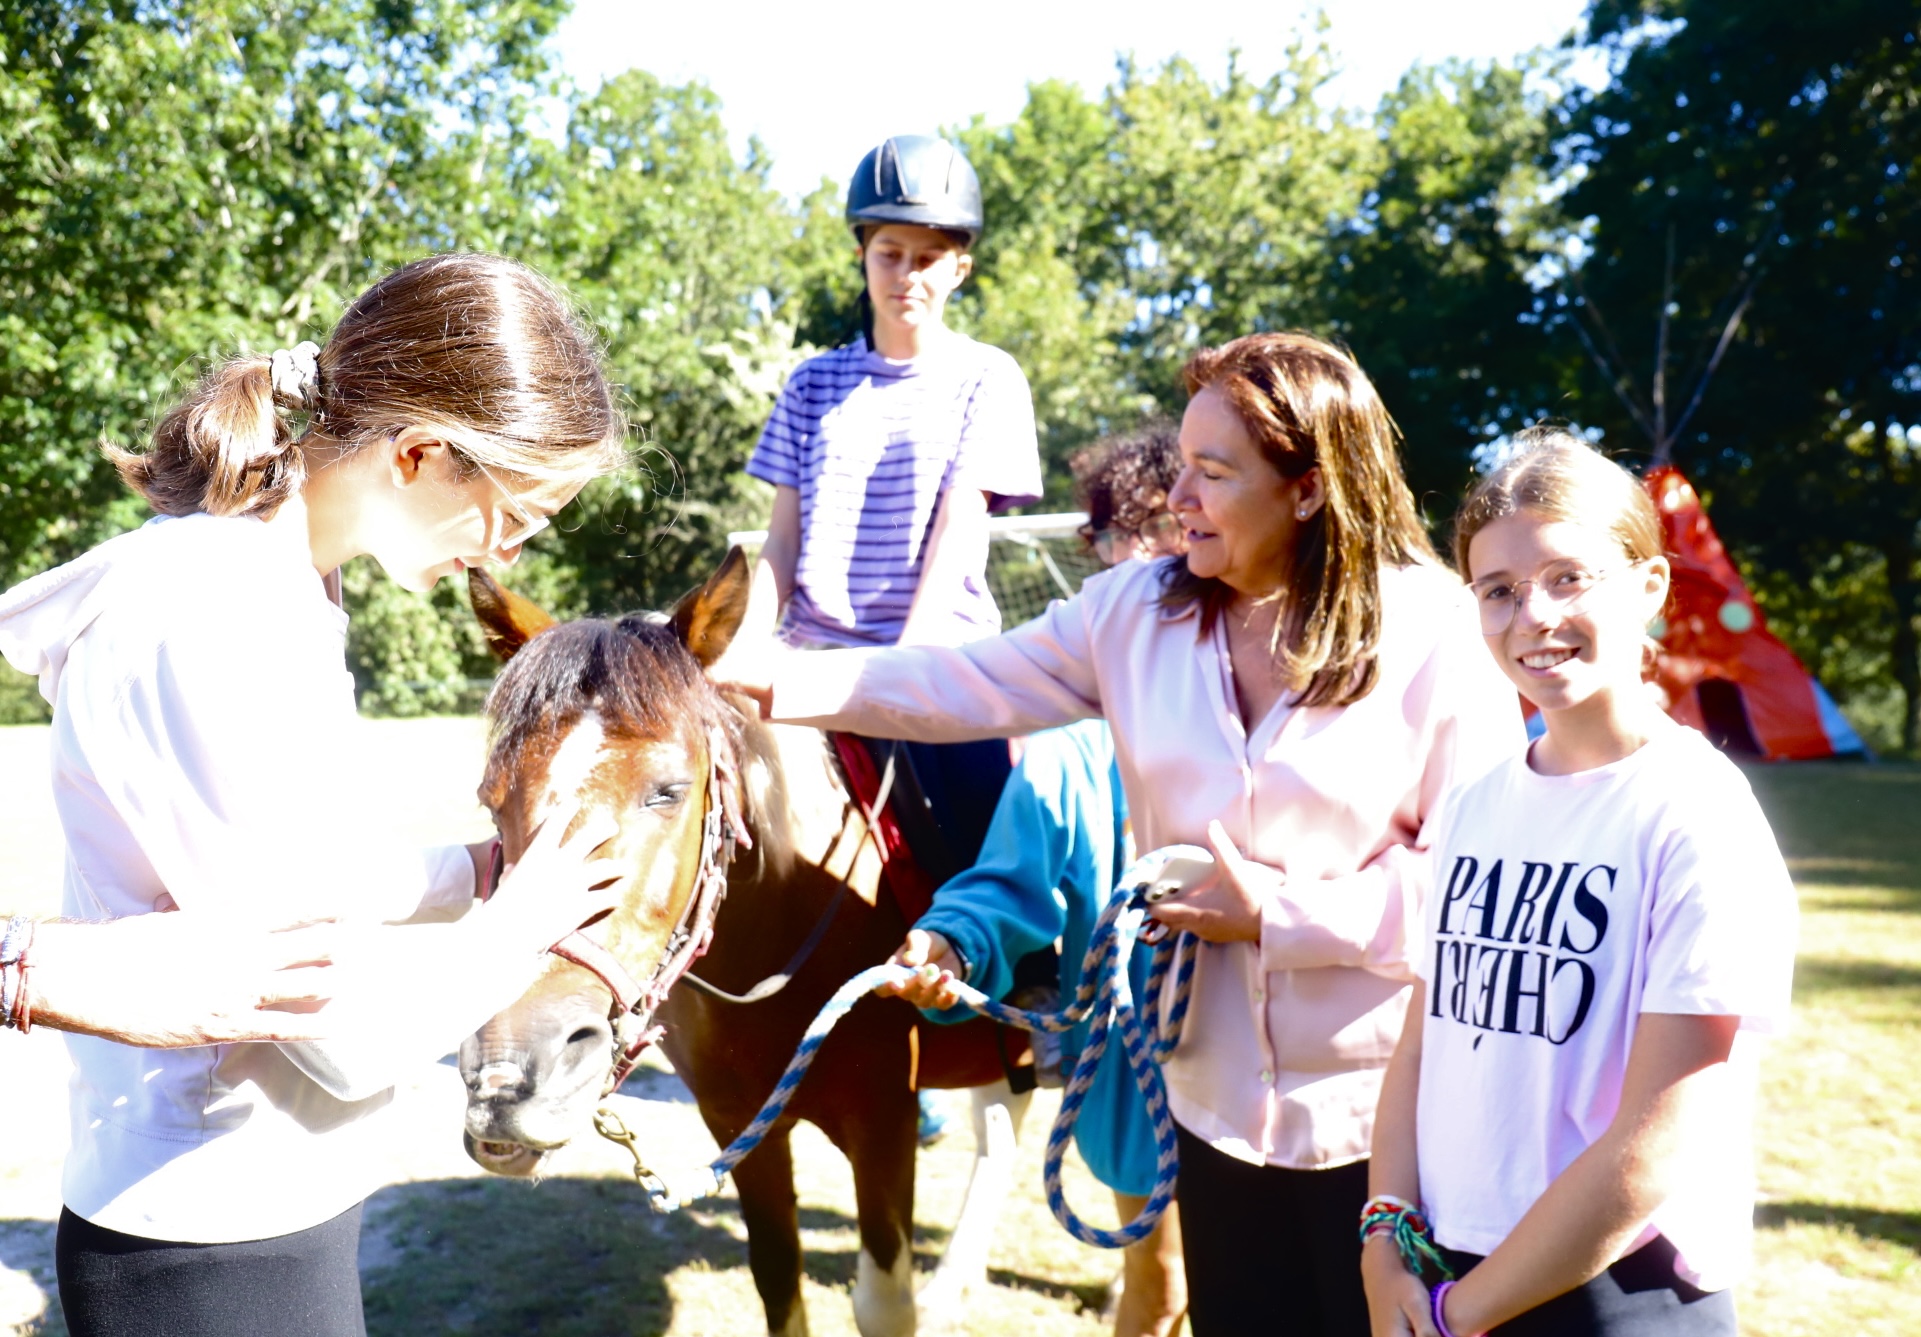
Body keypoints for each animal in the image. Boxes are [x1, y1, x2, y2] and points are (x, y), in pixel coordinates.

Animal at [457, 553, 1037, 1337]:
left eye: (668, 791)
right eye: (491, 800)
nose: (509, 1072)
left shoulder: (885, 1124)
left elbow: (882, 1303)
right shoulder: (739, 1126)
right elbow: (778, 1279)